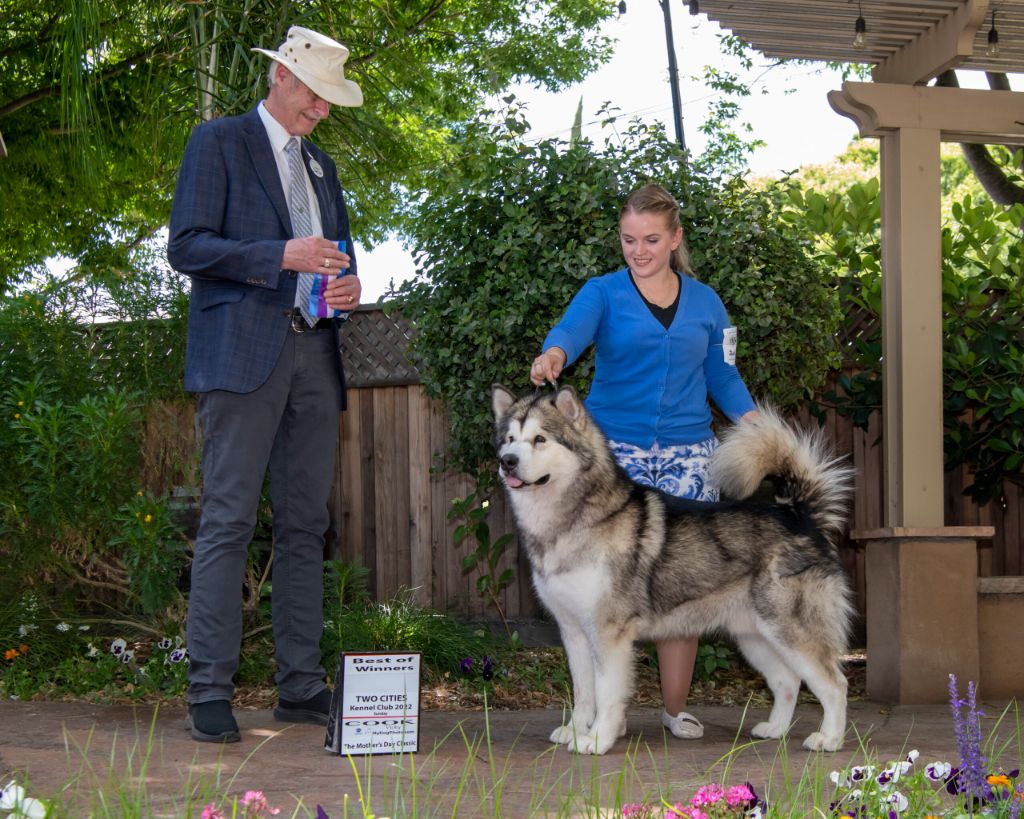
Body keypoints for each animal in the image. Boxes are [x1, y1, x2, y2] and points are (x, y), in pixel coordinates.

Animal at [491, 384, 851, 753]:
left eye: (540, 439)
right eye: (509, 439)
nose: (508, 462)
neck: (574, 519)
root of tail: (799, 514)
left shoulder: (608, 633)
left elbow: (606, 694)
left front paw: (599, 738)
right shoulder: (573, 631)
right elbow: (583, 692)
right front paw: (576, 731)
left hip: (791, 632)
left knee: (835, 684)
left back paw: (830, 739)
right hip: (755, 636)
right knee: (787, 680)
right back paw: (776, 728)